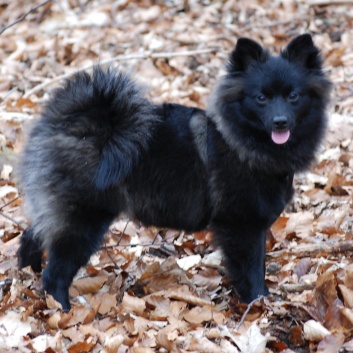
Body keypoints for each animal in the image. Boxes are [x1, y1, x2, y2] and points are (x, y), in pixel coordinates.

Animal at [17, 34, 332, 310]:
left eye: (293, 96)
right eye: (261, 98)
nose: (280, 122)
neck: (242, 141)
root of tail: (69, 124)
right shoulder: (241, 226)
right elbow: (252, 268)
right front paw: (259, 302)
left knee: (30, 239)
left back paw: (24, 280)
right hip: (83, 221)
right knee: (56, 272)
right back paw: (62, 308)